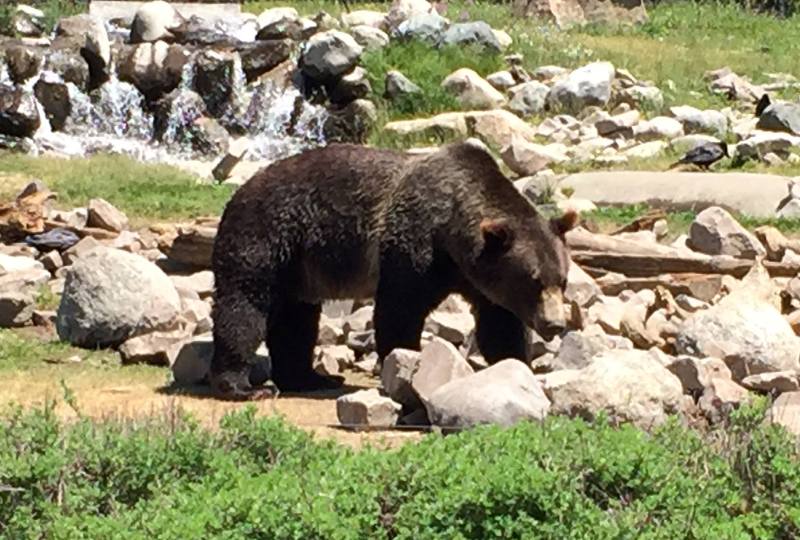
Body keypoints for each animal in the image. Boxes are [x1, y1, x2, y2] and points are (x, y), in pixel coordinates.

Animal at [209, 141, 580, 398]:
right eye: (533, 282)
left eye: (561, 281)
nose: (554, 324)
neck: (453, 234)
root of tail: (238, 192)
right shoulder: (415, 245)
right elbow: (399, 309)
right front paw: (403, 366)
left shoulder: (479, 276)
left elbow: (499, 325)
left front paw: (519, 365)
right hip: (267, 237)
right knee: (244, 307)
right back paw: (244, 386)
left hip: (298, 268)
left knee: (295, 321)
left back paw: (309, 377)